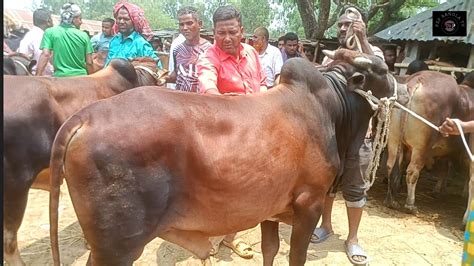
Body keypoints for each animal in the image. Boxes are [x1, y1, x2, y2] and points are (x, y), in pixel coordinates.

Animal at [49, 48, 404, 264]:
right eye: (381, 68)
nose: (396, 82)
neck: (332, 108)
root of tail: (85, 117)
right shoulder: (310, 203)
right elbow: (295, 256)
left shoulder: (271, 209)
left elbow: (270, 250)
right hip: (116, 247)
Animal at [386, 70, 474, 214]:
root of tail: (416, 81)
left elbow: (444, 170)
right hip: (421, 147)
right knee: (412, 171)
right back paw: (410, 205)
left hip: (394, 140)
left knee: (391, 165)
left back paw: (391, 200)